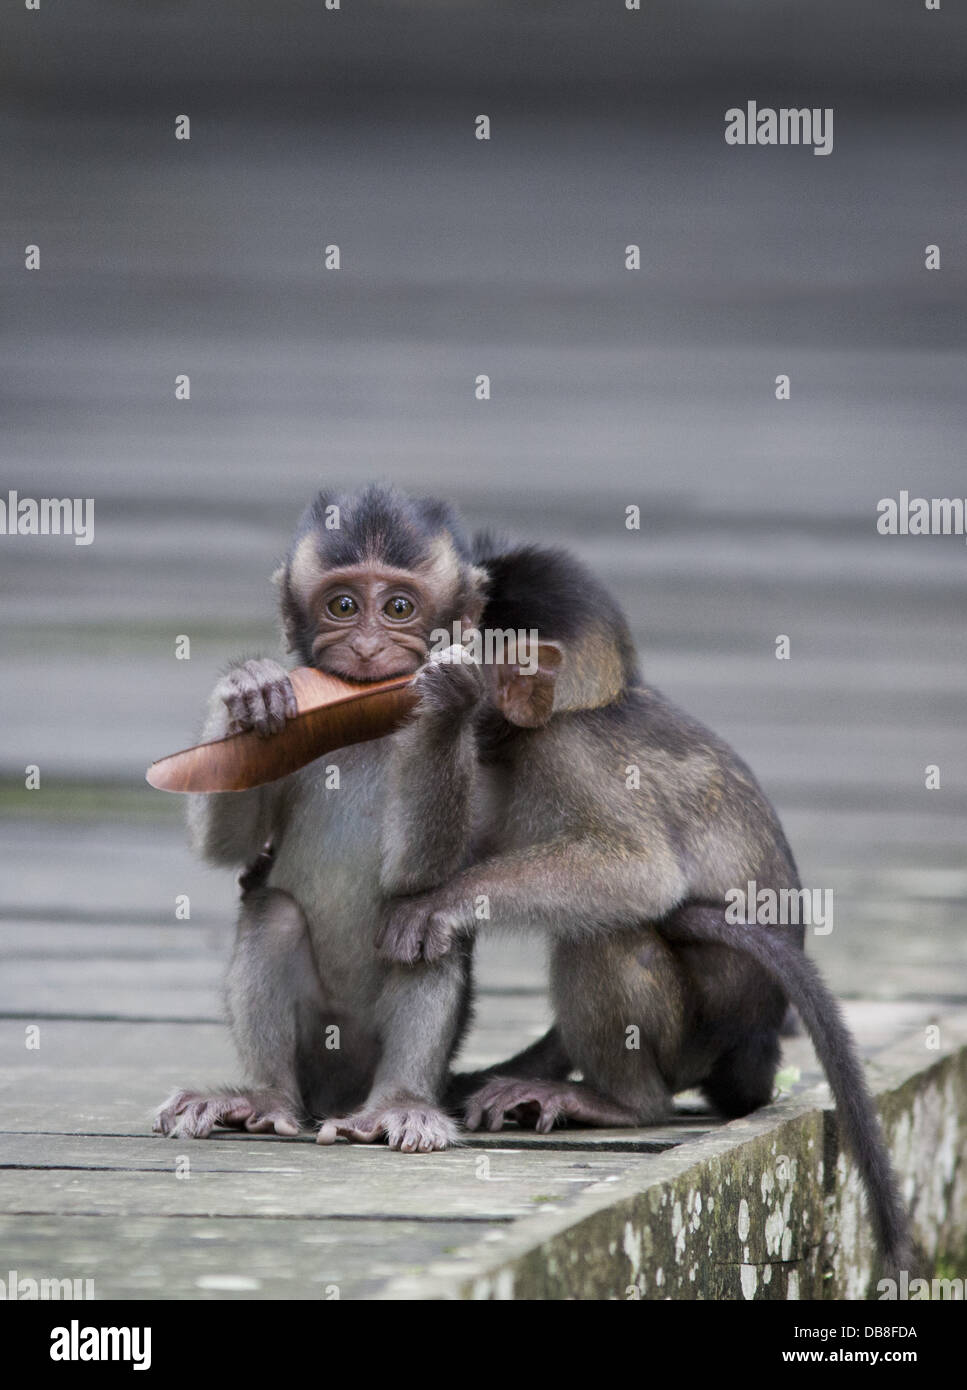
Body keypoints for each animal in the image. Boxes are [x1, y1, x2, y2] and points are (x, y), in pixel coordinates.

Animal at [153, 483, 491, 1152]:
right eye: (342, 605)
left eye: (397, 607)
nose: (365, 647)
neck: (360, 721)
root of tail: (339, 1093)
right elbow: (229, 843)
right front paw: (247, 689)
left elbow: (422, 873)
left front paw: (448, 700)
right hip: (314, 1055)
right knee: (274, 914)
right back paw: (264, 1099)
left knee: (425, 931)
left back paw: (398, 1106)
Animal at [376, 538, 911, 1270]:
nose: (410, 661)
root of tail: (753, 1048)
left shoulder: (566, 751)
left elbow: (639, 873)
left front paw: (442, 902)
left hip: (694, 1042)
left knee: (610, 932)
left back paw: (626, 1104)